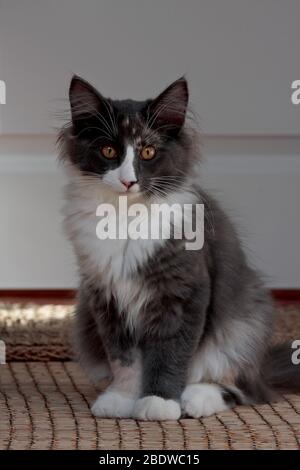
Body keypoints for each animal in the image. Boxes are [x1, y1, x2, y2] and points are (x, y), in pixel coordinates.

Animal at [57, 75, 298, 420]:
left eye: (147, 152)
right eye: (108, 150)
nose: (128, 181)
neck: (124, 215)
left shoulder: (181, 292)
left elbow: (169, 354)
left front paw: (158, 402)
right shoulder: (106, 298)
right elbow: (124, 359)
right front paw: (122, 398)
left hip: (243, 323)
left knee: (240, 388)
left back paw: (195, 398)